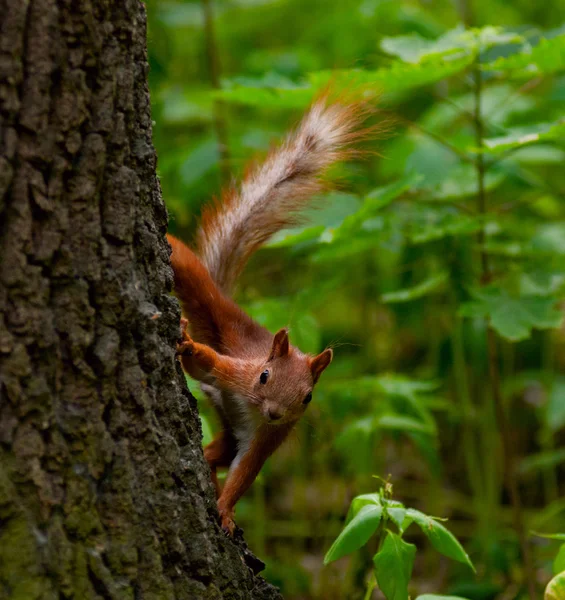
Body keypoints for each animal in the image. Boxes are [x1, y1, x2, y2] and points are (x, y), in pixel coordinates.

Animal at [165, 95, 372, 536]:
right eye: (263, 376)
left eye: (307, 397)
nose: (275, 412)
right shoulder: (235, 374)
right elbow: (206, 365)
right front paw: (187, 345)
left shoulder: (269, 438)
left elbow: (246, 472)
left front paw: (225, 511)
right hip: (214, 329)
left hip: (229, 428)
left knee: (219, 453)